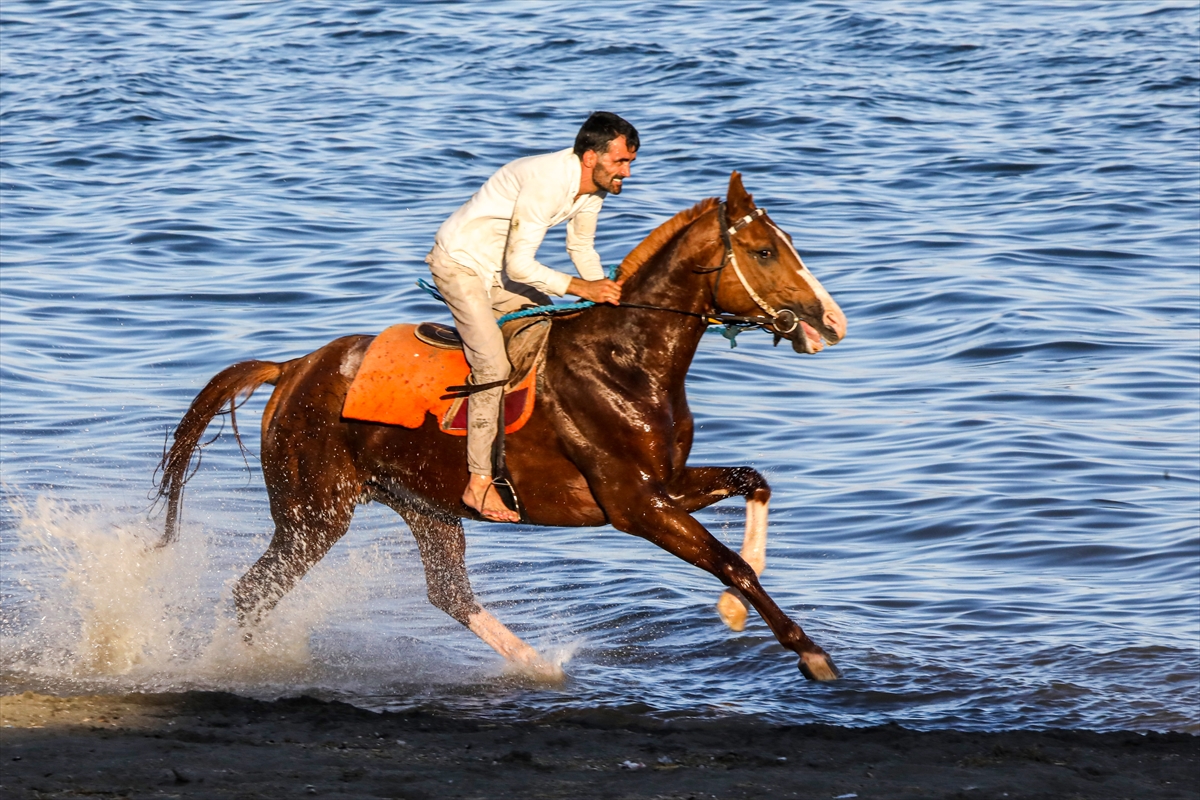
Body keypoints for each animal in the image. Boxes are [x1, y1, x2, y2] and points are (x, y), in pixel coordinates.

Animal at [159, 172, 849, 681]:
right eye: (764, 251)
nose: (832, 321)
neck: (624, 361)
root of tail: (293, 369)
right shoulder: (637, 505)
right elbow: (730, 563)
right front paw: (809, 652)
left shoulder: (668, 484)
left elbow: (754, 483)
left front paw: (734, 613)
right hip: (314, 515)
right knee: (252, 591)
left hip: (424, 507)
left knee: (448, 594)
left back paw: (541, 667)